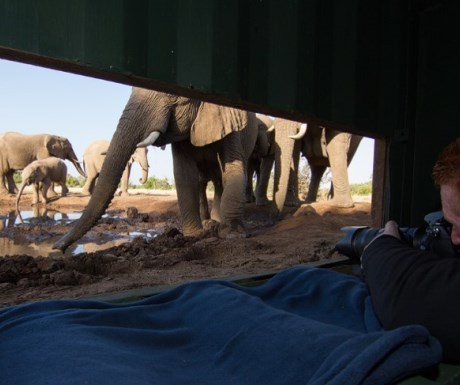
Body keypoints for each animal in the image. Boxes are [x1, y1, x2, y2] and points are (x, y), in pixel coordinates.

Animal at [54, 86, 258, 252]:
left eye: (173, 94)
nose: (57, 248)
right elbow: (184, 174)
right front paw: (194, 236)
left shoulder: (231, 121)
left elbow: (234, 169)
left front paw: (233, 235)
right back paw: (210, 224)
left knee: (220, 180)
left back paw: (216, 224)